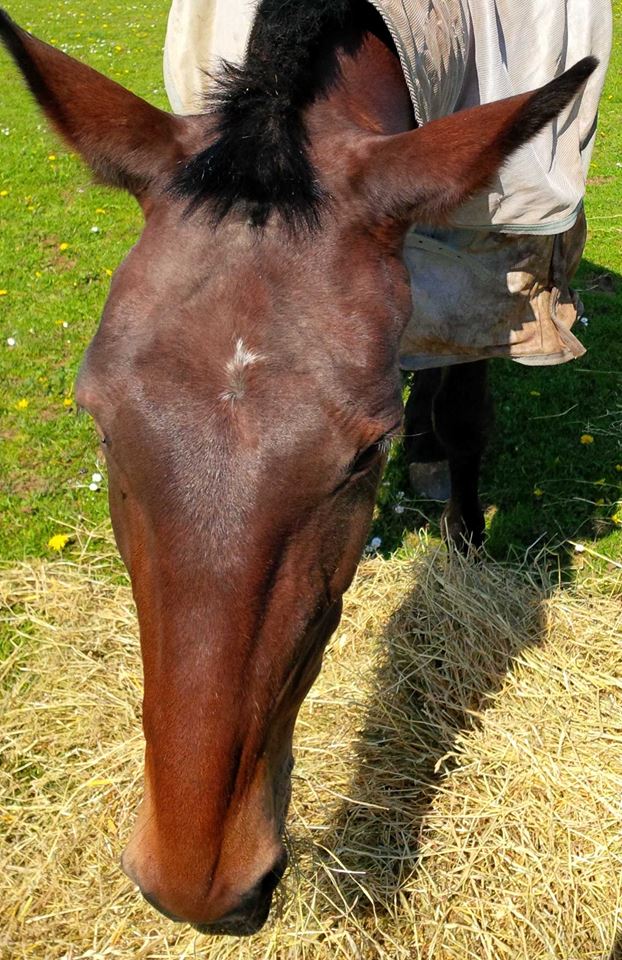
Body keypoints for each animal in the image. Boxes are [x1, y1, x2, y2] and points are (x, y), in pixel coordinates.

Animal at [0, 1, 600, 936]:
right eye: (99, 425)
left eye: (364, 455)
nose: (197, 886)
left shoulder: (486, 256)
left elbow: (467, 412)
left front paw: (464, 553)